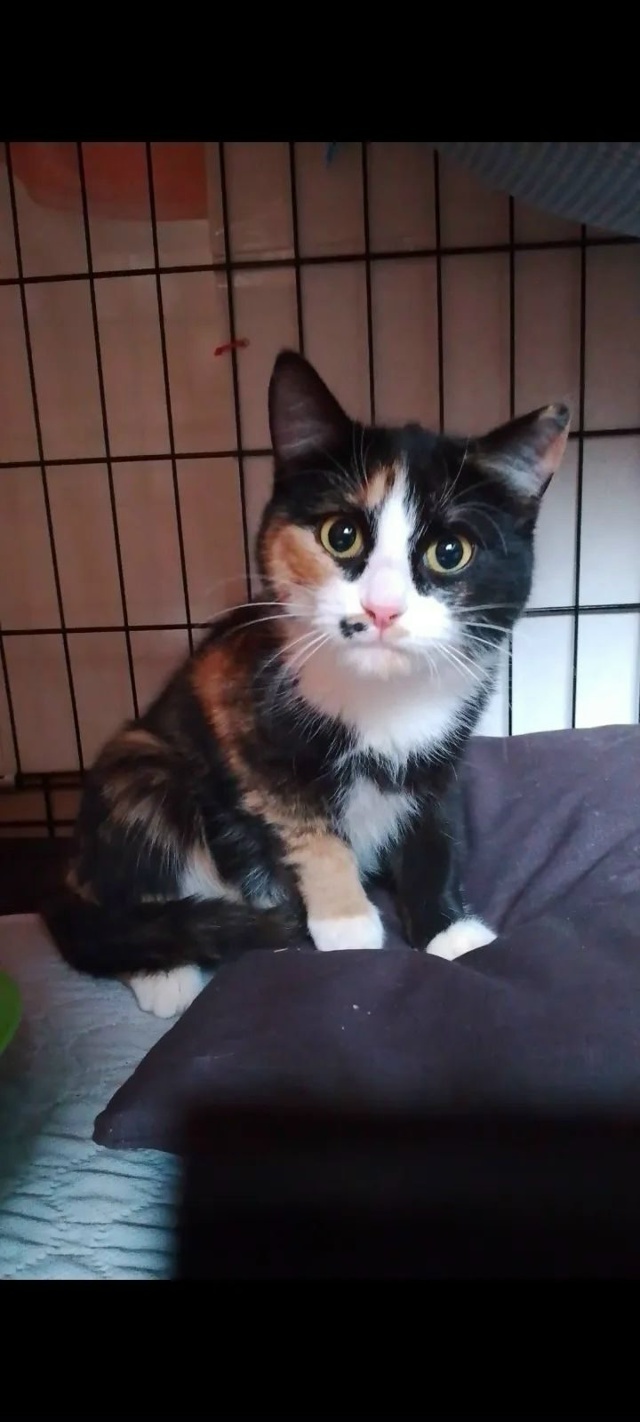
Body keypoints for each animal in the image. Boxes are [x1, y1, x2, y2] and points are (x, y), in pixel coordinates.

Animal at [44, 350, 570, 1018]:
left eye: (450, 551)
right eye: (340, 535)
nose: (381, 608)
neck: (384, 701)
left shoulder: (445, 751)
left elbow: (436, 832)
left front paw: (450, 932)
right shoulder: (239, 705)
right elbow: (308, 828)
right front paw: (349, 926)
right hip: (140, 768)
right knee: (126, 898)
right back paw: (165, 972)